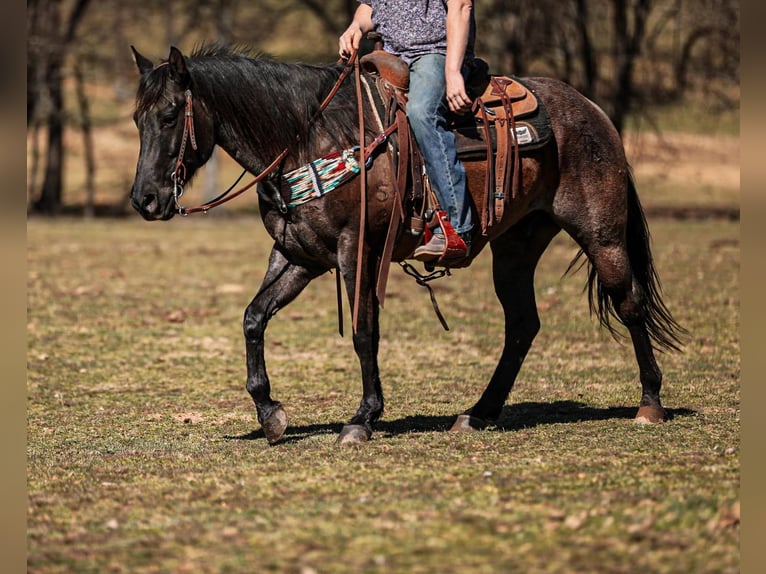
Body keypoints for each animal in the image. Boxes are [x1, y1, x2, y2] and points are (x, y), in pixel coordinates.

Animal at [128, 44, 686, 445]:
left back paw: (650, 404)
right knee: (523, 325)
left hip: (602, 233)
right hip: (516, 246)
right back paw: (478, 413)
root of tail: (593, 110)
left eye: (172, 114)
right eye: (138, 118)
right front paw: (270, 413)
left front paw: (362, 418)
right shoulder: (298, 256)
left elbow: (363, 332)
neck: (311, 140)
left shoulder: (357, 251)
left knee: (629, 303)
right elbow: (253, 318)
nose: (145, 199)